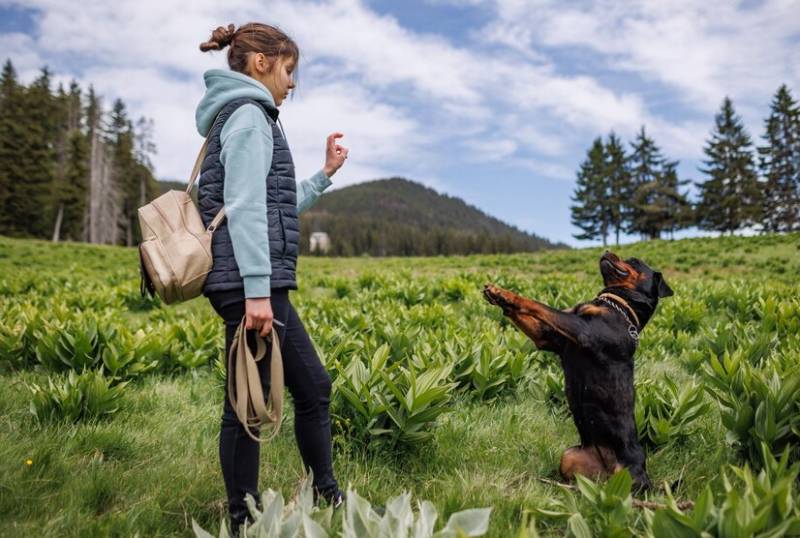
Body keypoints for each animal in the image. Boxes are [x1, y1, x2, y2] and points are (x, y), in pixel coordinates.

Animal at [484, 249, 672, 488]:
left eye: (634, 261)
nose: (607, 250)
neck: (619, 304)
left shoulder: (581, 329)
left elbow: (538, 305)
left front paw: (506, 293)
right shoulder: (547, 338)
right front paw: (497, 295)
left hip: (629, 475)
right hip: (569, 456)